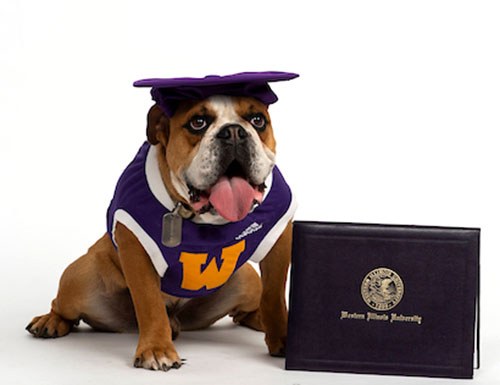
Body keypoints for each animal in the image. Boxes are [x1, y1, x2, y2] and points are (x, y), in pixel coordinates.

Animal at [25, 94, 292, 370]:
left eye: (258, 120)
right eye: (198, 123)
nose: (234, 132)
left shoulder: (280, 235)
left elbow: (274, 294)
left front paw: (283, 337)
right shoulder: (136, 248)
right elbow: (149, 303)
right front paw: (156, 349)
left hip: (247, 279)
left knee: (245, 312)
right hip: (79, 278)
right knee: (63, 305)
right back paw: (50, 321)